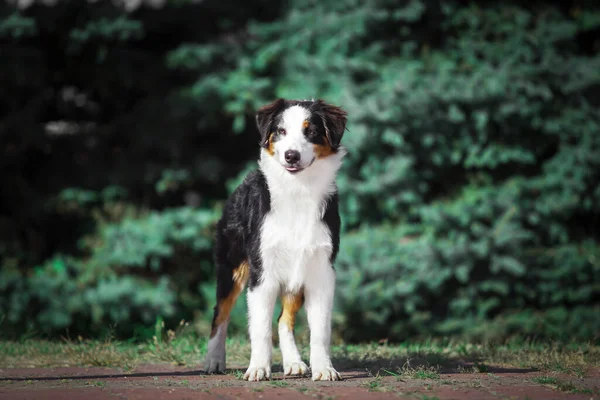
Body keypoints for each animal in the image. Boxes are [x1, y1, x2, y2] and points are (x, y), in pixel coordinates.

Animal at [205, 97, 350, 382]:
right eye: (280, 131)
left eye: (311, 131)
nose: (291, 155)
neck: (298, 191)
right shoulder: (262, 272)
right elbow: (260, 329)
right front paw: (258, 369)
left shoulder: (321, 271)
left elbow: (320, 330)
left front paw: (323, 368)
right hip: (232, 267)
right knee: (220, 313)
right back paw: (214, 360)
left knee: (284, 319)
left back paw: (293, 362)